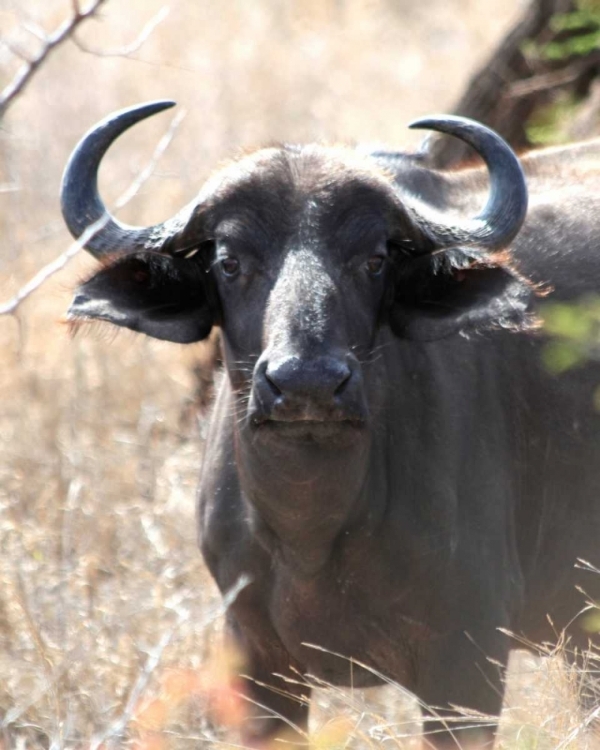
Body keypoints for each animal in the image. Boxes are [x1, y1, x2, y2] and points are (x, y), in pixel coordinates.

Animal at [61, 103, 600, 748]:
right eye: (229, 261)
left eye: (374, 259)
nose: (307, 383)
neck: (312, 531)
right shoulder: (257, 666)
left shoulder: (467, 665)